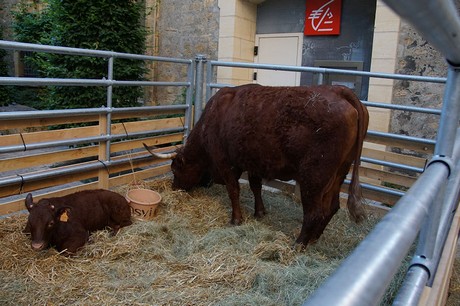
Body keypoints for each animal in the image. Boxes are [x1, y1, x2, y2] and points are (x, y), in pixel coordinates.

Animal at [146, 85, 368, 247]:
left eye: (175, 169)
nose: (174, 188)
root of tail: (338, 90)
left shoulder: (226, 163)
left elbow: (234, 190)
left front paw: (236, 219)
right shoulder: (253, 163)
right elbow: (255, 187)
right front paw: (259, 212)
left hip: (314, 176)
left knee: (314, 212)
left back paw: (298, 244)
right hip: (339, 173)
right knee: (332, 207)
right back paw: (313, 239)